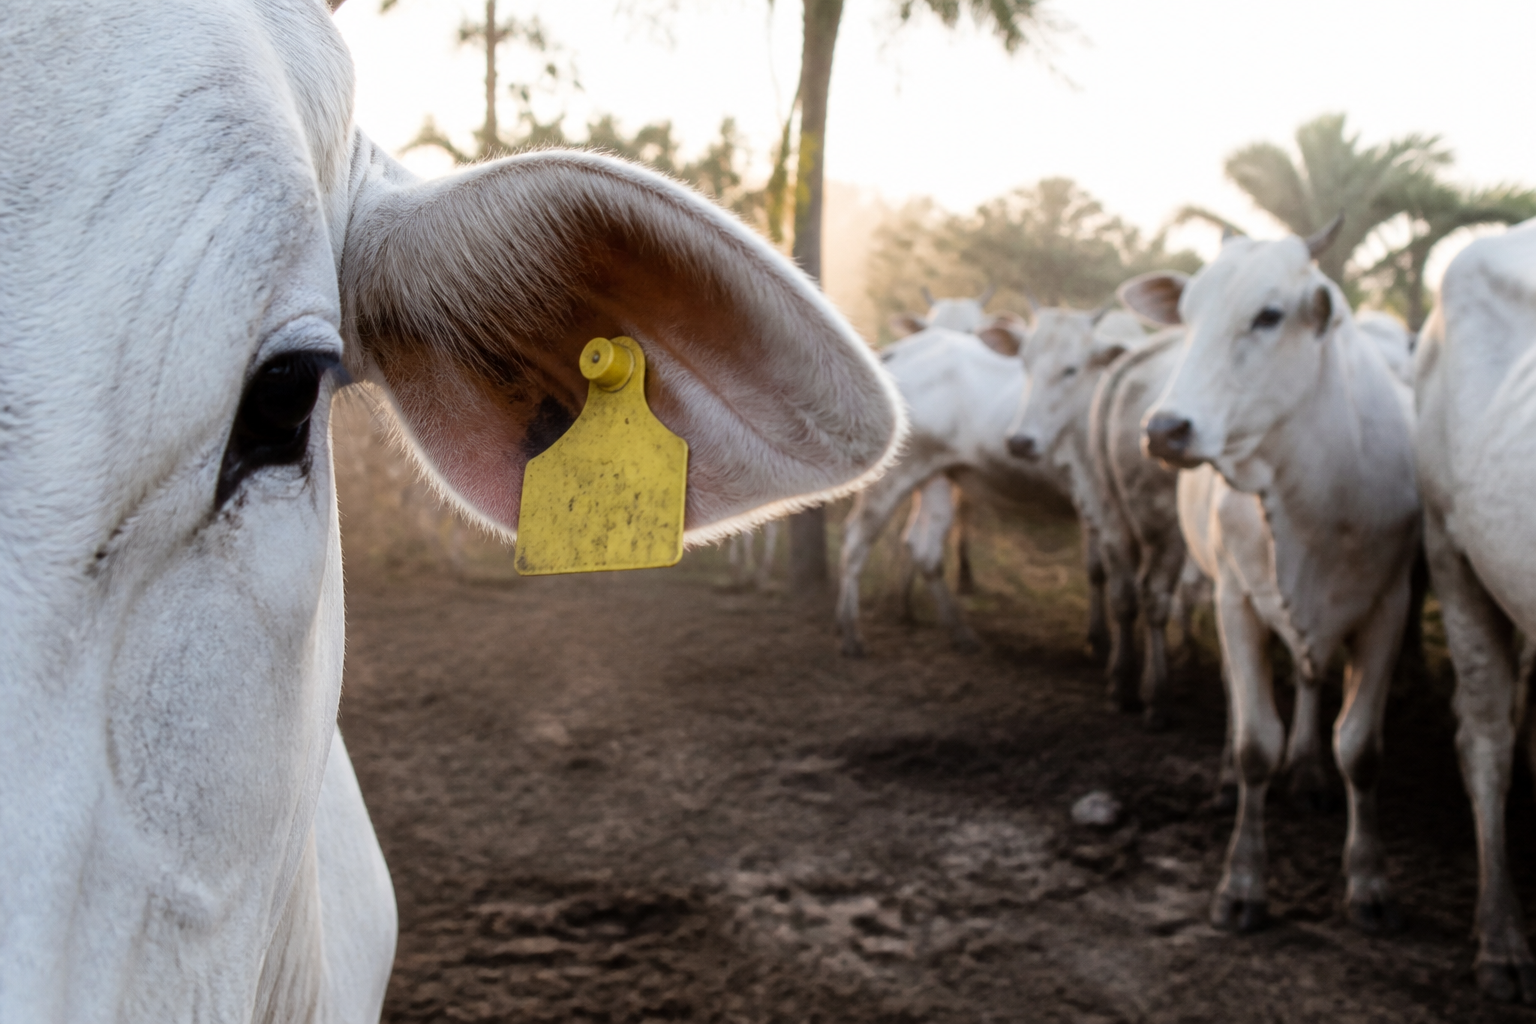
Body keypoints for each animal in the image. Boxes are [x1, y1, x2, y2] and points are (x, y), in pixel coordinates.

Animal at [1129, 220, 1420, 935]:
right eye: (1186, 315)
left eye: (1269, 315)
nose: (1164, 429)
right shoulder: (1237, 599)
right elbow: (1256, 739)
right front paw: (1242, 883)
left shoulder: (1389, 605)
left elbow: (1360, 748)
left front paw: (1368, 882)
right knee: (1242, 701)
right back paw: (1233, 777)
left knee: (1313, 683)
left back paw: (1310, 773)